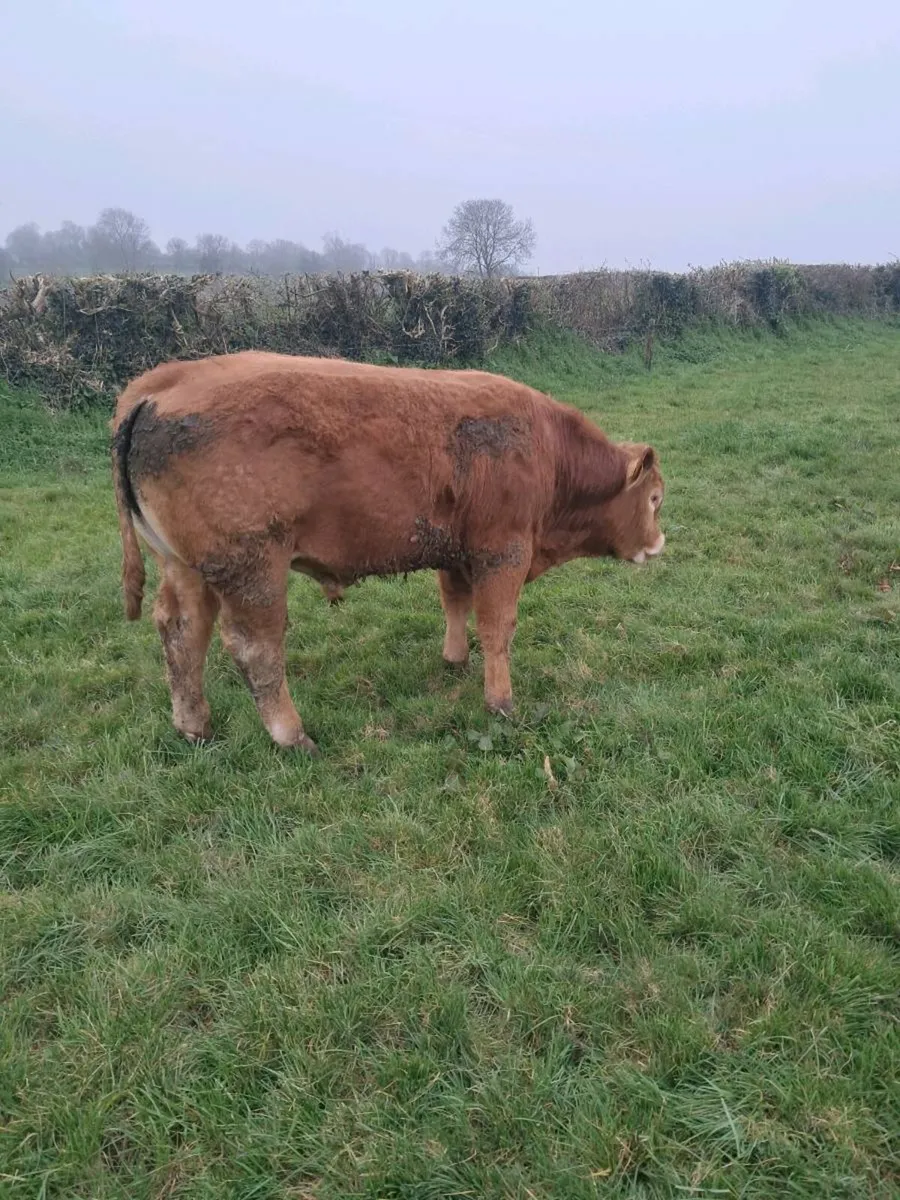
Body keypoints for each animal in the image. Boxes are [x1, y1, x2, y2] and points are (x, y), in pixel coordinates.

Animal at [111, 351, 666, 753]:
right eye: (655, 498)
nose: (659, 544)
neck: (546, 449)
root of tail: (161, 386)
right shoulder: (503, 553)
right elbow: (498, 628)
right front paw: (501, 702)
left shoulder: (456, 553)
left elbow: (454, 603)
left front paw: (455, 659)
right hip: (254, 572)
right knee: (255, 650)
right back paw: (293, 736)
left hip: (185, 569)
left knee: (182, 634)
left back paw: (194, 727)